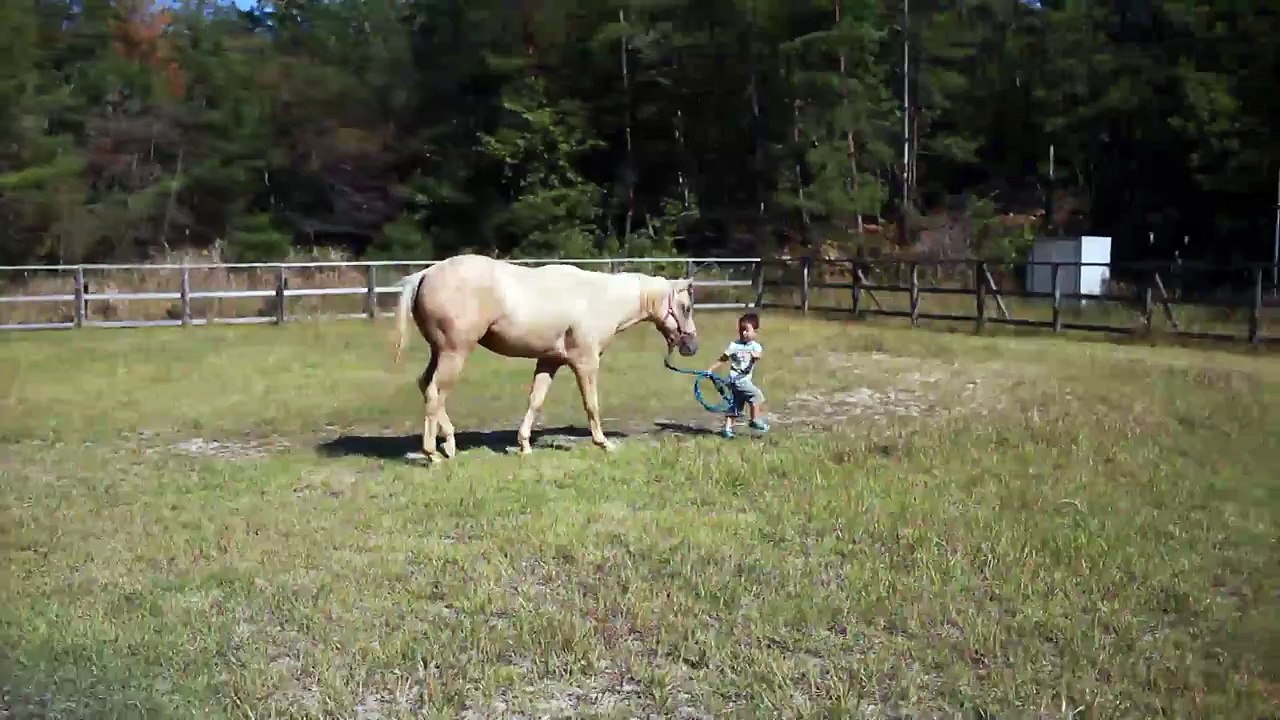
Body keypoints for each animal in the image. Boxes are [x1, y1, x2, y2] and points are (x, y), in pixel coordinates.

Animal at [392, 254, 700, 462]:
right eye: (685, 307)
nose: (692, 346)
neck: (599, 299)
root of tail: (426, 273)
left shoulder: (549, 361)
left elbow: (535, 400)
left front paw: (525, 446)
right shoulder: (586, 363)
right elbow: (592, 404)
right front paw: (603, 443)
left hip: (440, 351)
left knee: (426, 386)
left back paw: (449, 444)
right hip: (454, 352)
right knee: (435, 391)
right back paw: (433, 453)